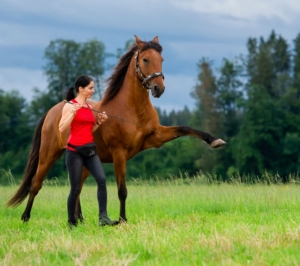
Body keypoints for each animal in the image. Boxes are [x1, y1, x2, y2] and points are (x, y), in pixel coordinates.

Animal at [5, 35, 225, 222]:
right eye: (145, 59)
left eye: (161, 59)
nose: (158, 89)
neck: (132, 110)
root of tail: (54, 110)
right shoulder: (119, 152)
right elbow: (122, 190)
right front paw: (122, 219)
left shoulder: (156, 137)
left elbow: (185, 128)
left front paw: (215, 140)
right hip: (48, 154)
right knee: (36, 185)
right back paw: (26, 217)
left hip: (84, 163)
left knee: (77, 188)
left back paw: (79, 220)